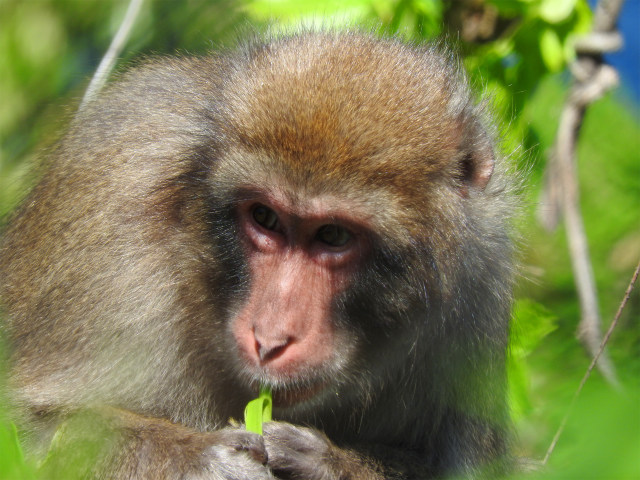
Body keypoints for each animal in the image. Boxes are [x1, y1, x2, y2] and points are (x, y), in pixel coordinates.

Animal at [0, 31, 512, 480]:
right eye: (265, 217)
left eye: (333, 235)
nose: (269, 340)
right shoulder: (111, 198)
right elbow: (25, 425)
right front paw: (202, 460)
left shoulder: (479, 287)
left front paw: (328, 463)